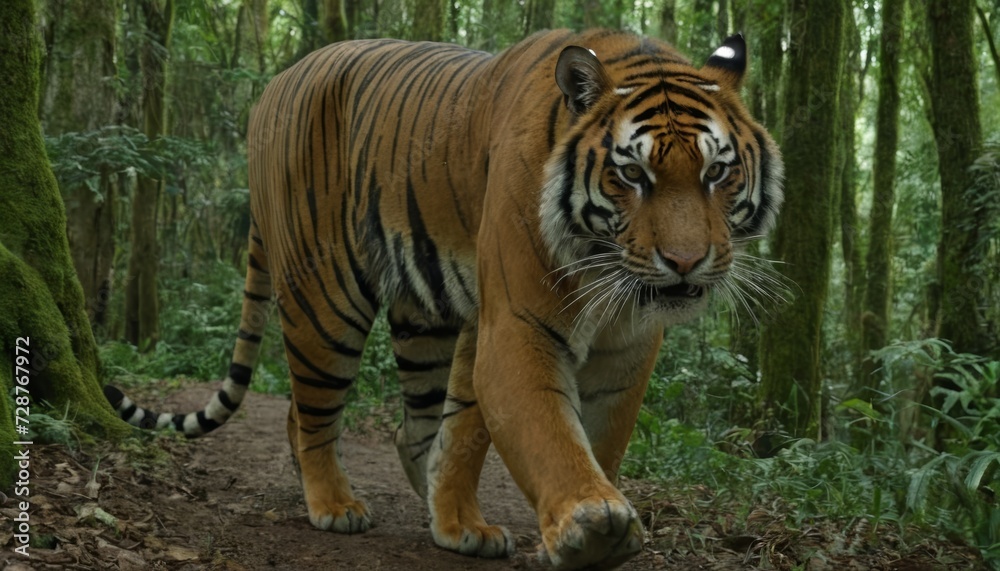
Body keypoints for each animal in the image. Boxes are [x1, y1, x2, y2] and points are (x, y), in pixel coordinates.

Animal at [104, 29, 783, 569]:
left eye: (716, 173)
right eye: (632, 174)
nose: (686, 262)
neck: (606, 269)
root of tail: (275, 83)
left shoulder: (623, 348)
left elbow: (541, 433)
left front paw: (461, 523)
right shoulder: (517, 326)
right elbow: (543, 431)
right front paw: (591, 524)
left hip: (423, 316)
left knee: (400, 421)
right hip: (327, 295)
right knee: (312, 409)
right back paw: (333, 503)